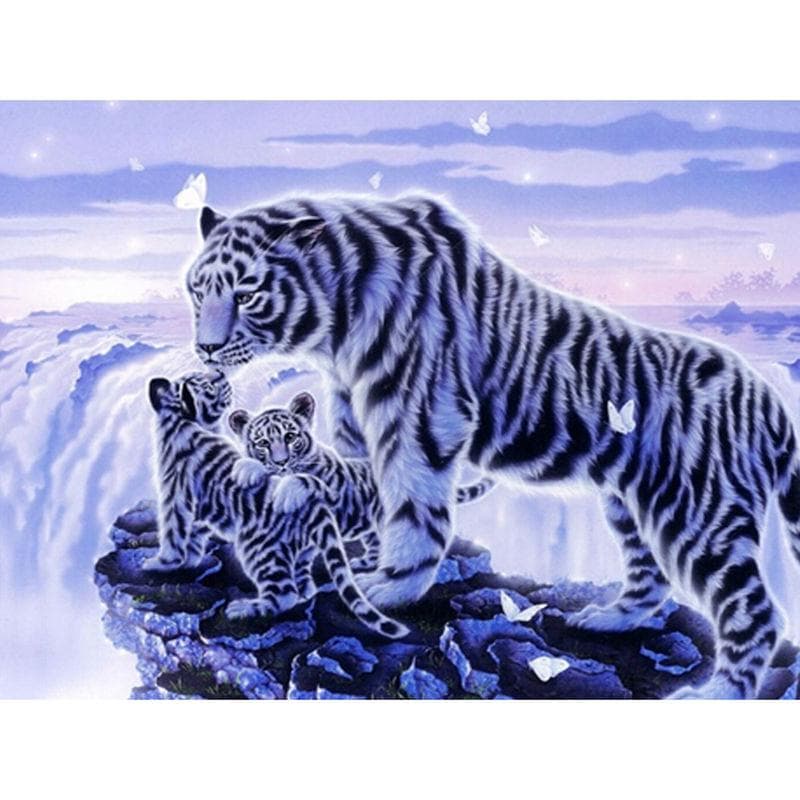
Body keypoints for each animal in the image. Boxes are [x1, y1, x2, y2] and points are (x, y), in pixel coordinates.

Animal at [145, 369, 408, 638]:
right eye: (262, 442)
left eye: (290, 437)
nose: (220, 374)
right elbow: (194, 533)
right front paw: (190, 559)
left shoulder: (174, 495)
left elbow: (173, 533)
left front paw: (162, 563)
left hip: (258, 549)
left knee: (283, 594)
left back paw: (244, 608)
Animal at [226, 390, 496, 573]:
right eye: (263, 443)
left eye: (290, 437)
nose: (281, 462)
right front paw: (245, 469)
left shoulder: (336, 493)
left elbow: (308, 480)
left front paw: (287, 493)